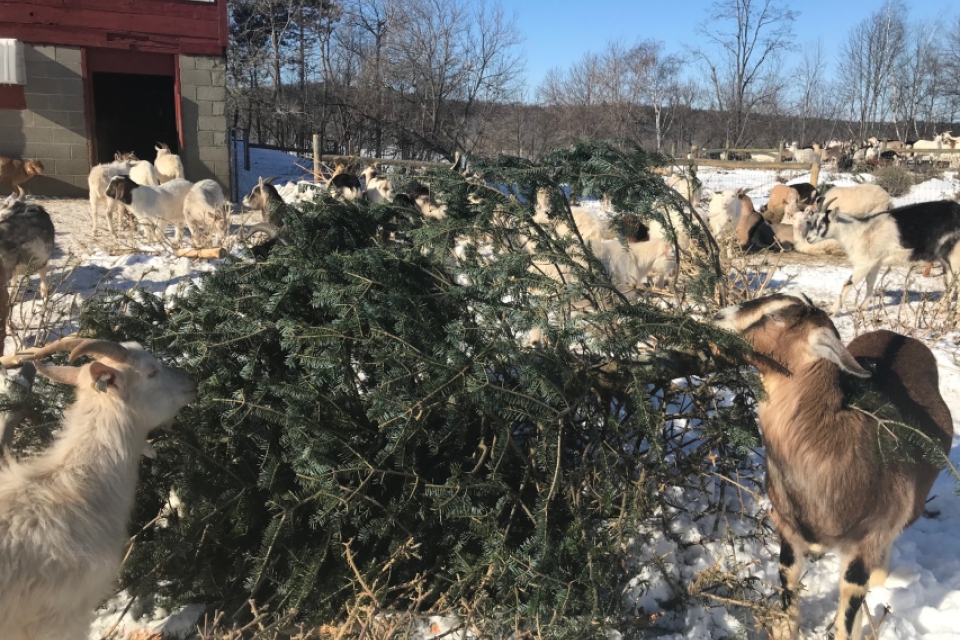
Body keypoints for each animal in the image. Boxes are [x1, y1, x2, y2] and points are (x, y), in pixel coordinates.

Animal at [712, 294, 952, 640]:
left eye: (775, 316)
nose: (717, 317)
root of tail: (902, 337)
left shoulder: (866, 544)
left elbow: (848, 613)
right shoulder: (789, 531)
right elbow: (789, 592)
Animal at [804, 198, 960, 312]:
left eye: (822, 223)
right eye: (813, 221)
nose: (808, 238)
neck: (860, 231)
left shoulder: (864, 263)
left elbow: (848, 283)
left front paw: (832, 312)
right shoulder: (875, 262)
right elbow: (870, 282)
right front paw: (863, 307)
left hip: (955, 254)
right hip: (944, 256)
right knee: (951, 280)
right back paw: (940, 307)